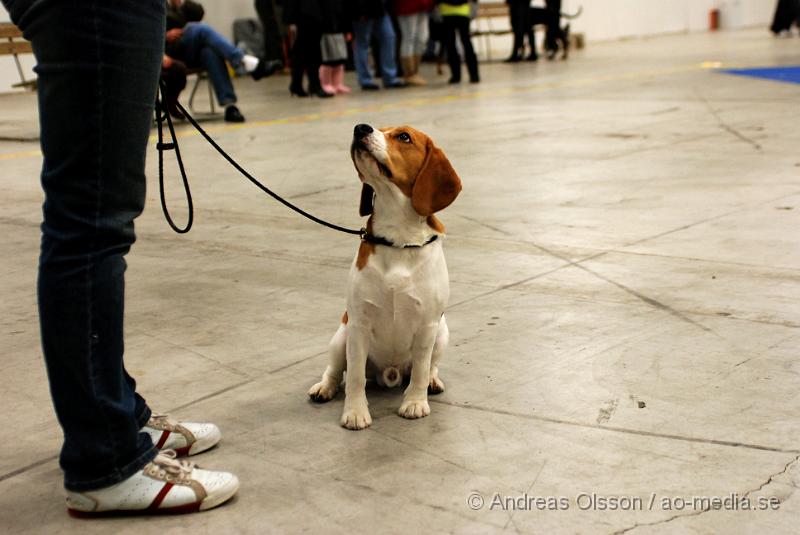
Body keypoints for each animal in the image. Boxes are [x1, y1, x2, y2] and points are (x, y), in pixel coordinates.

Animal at [310, 123, 466, 430]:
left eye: (404, 136)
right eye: (379, 128)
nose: (360, 127)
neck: (398, 237)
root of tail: (389, 373)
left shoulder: (428, 325)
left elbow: (420, 369)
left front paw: (415, 402)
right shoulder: (358, 324)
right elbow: (354, 377)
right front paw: (355, 412)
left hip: (442, 332)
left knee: (429, 366)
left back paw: (432, 381)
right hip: (341, 336)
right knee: (335, 370)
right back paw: (324, 388)